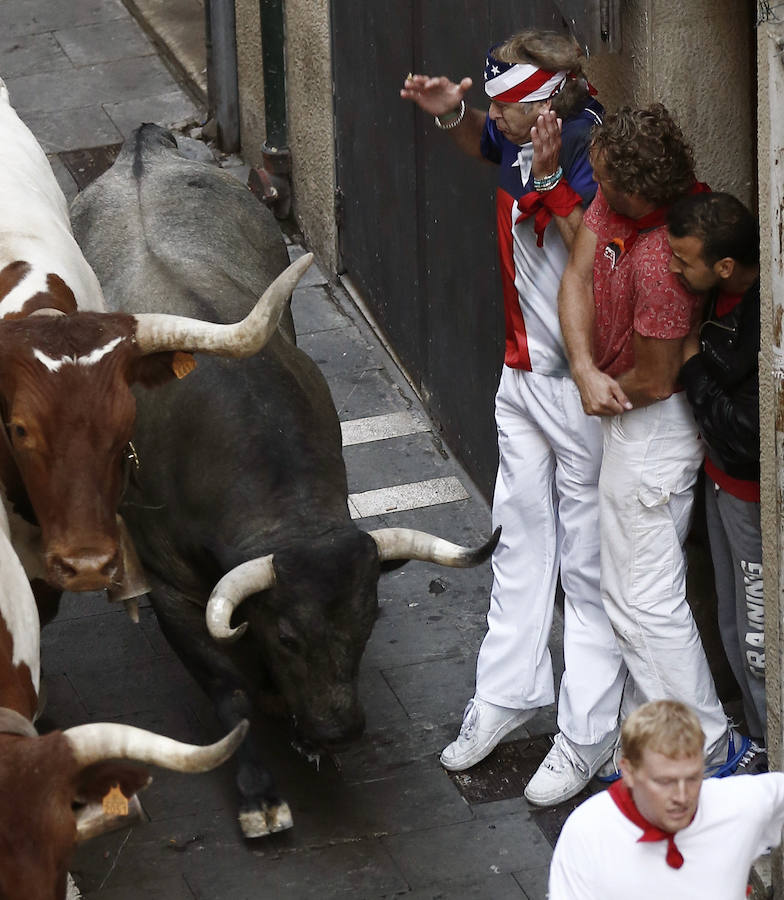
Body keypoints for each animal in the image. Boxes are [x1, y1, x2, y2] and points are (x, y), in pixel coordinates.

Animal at [72, 125, 496, 836]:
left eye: (369, 620)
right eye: (290, 636)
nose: (339, 728)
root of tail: (141, 148)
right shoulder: (170, 587)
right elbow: (227, 692)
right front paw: (259, 794)